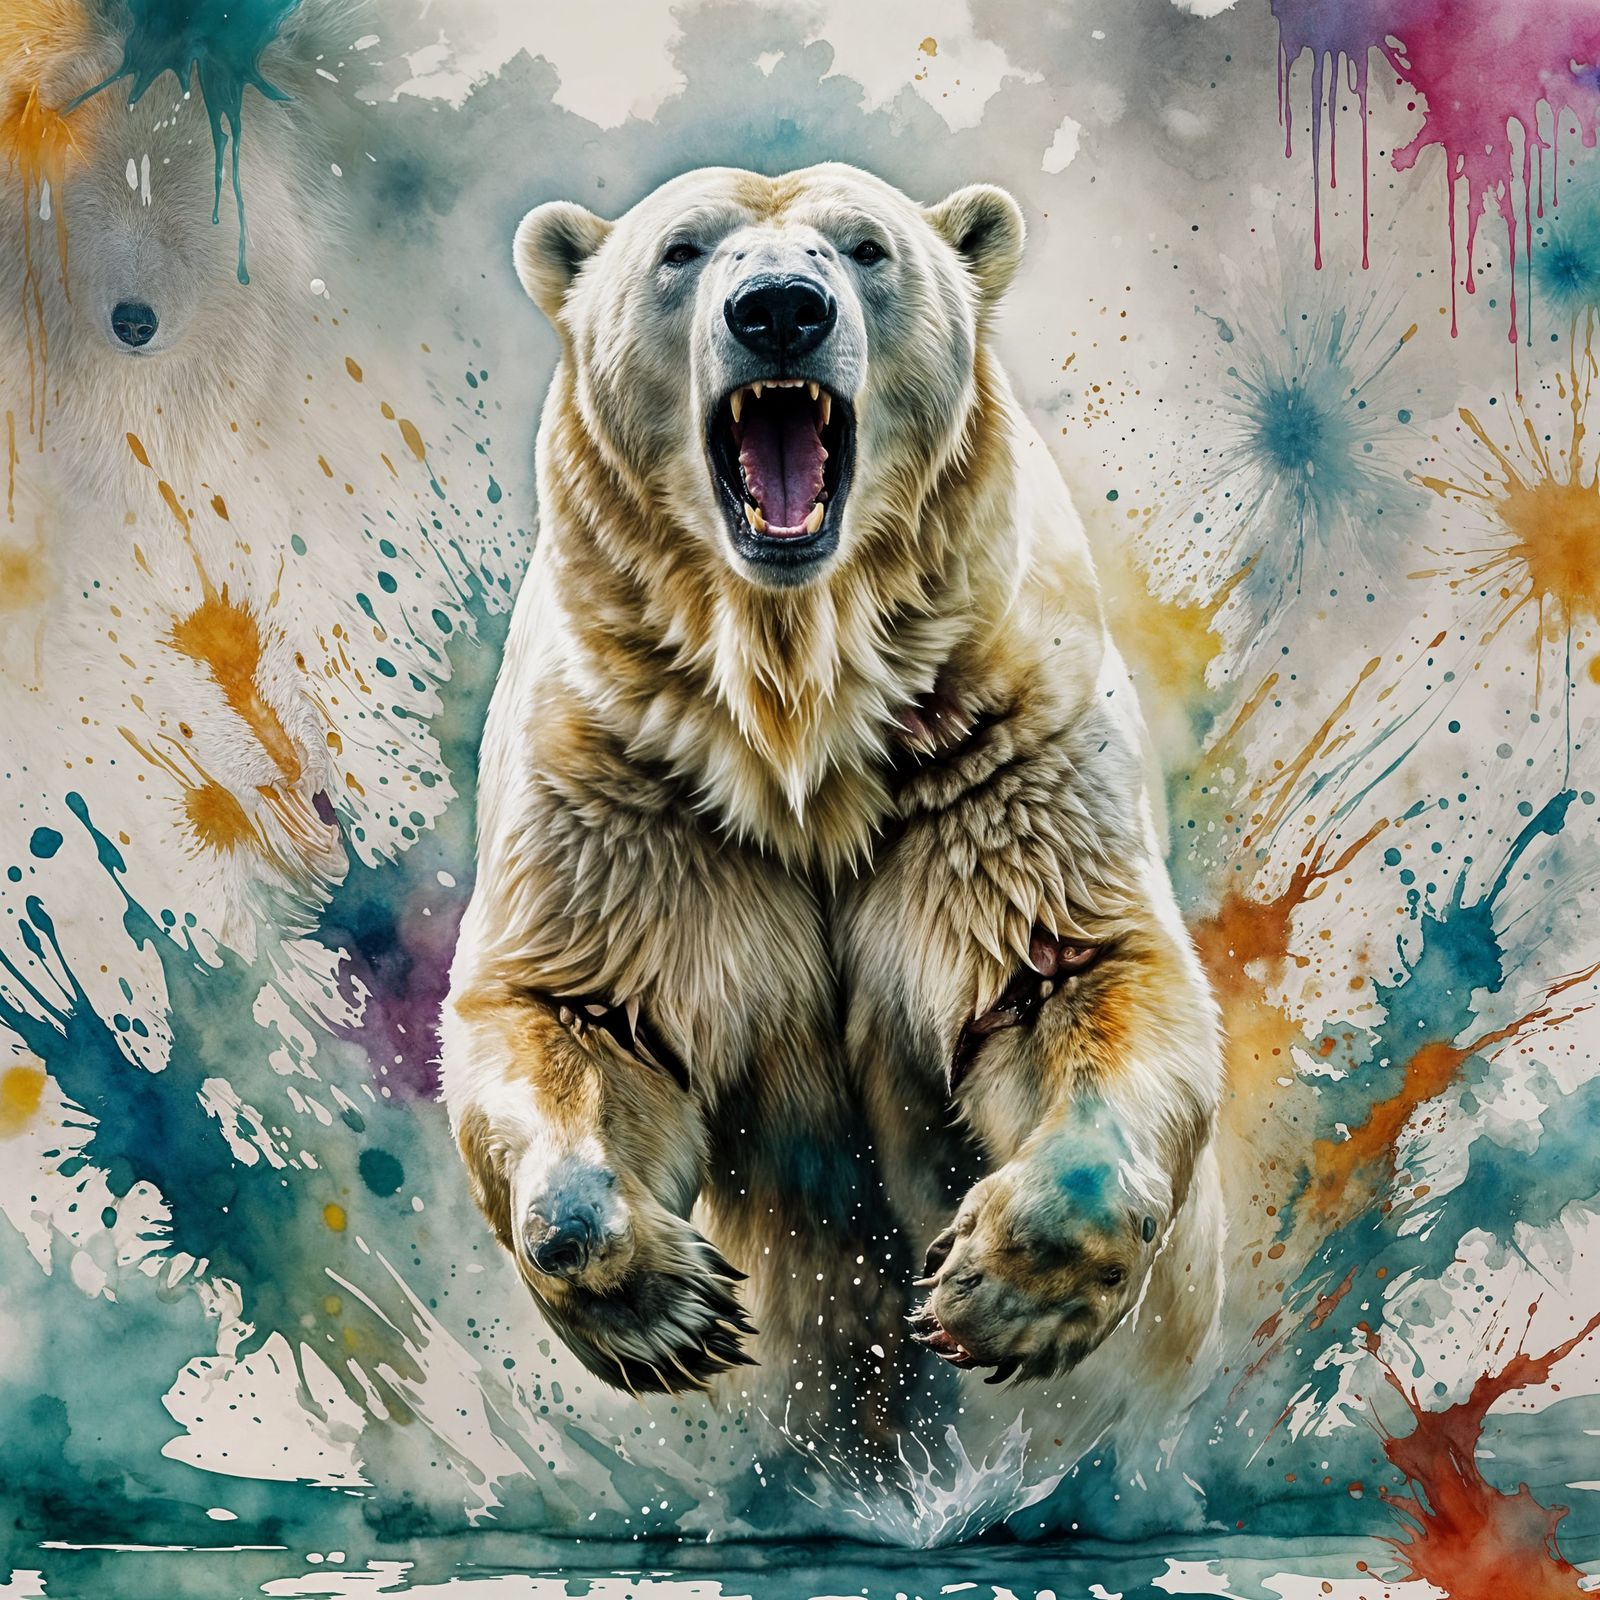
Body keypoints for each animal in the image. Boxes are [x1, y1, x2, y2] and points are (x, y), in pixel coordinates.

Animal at [441, 163, 1224, 1448]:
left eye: (866, 247)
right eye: (682, 248)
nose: (778, 310)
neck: (797, 721)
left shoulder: (995, 757)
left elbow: (1071, 972)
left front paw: (991, 1292)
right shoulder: (625, 785)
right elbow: (572, 1011)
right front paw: (668, 1309)